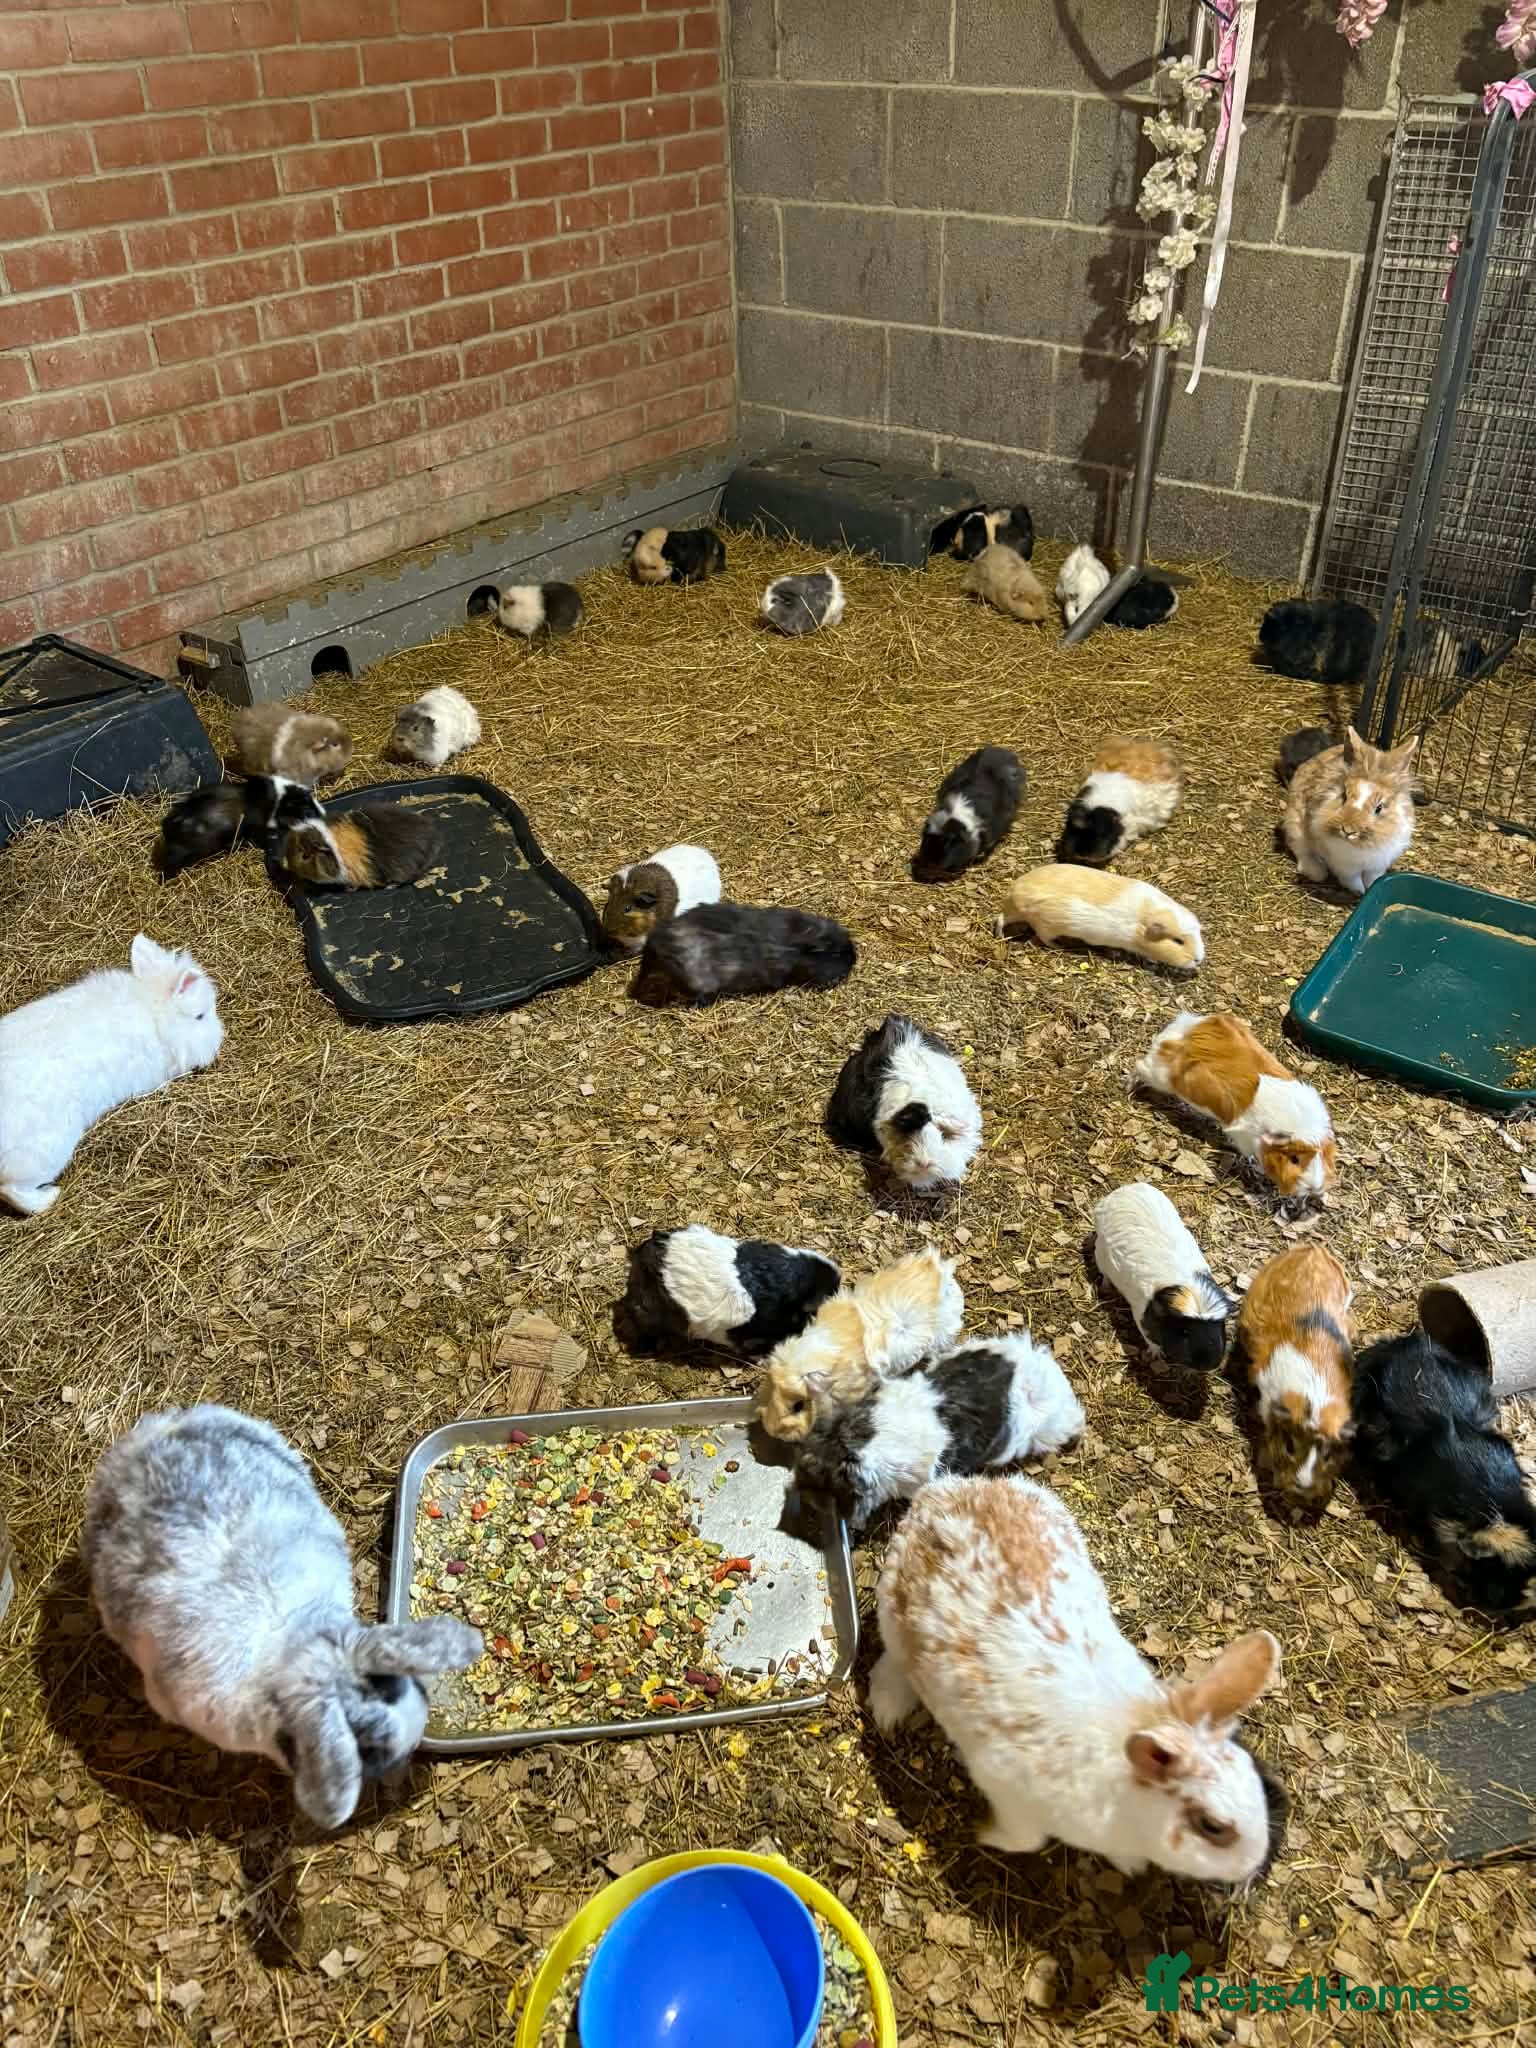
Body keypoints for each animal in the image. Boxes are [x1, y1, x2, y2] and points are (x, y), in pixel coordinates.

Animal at [0, 934, 223, 1217]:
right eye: (200, 1016)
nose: (219, 1039)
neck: (154, 1011)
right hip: (43, 1153)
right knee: (14, 1191)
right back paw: (50, 1196)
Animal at [870, 1472, 1282, 1883]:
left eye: (1253, 1776)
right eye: (1212, 1826)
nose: (1254, 1863)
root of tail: (944, 1490)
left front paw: (1129, 1865)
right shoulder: (1004, 1789)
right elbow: (1025, 1840)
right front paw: (983, 1834)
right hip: (890, 1614)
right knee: (891, 1661)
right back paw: (887, 1707)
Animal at [1093, 1183, 1234, 1371]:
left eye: (1218, 1329)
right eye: (1184, 1332)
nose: (1207, 1365)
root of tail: (1116, 1195)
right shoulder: (1141, 1317)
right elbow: (1150, 1339)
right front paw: (1156, 1354)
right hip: (1100, 1256)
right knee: (1105, 1275)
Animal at [1137, 1011, 1337, 1202]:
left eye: (1322, 1157)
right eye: (1294, 1159)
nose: (1315, 1188)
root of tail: (1185, 1030)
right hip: (1157, 1076)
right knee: (1139, 1066)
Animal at [1282, 724, 1420, 894]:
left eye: (1379, 808)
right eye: (1344, 796)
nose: (1348, 830)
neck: (1362, 846)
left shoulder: (1378, 863)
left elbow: (1373, 877)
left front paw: (1371, 887)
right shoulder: (1345, 865)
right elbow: (1352, 879)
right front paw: (1360, 892)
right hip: (1295, 825)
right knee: (1301, 851)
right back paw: (1316, 871)